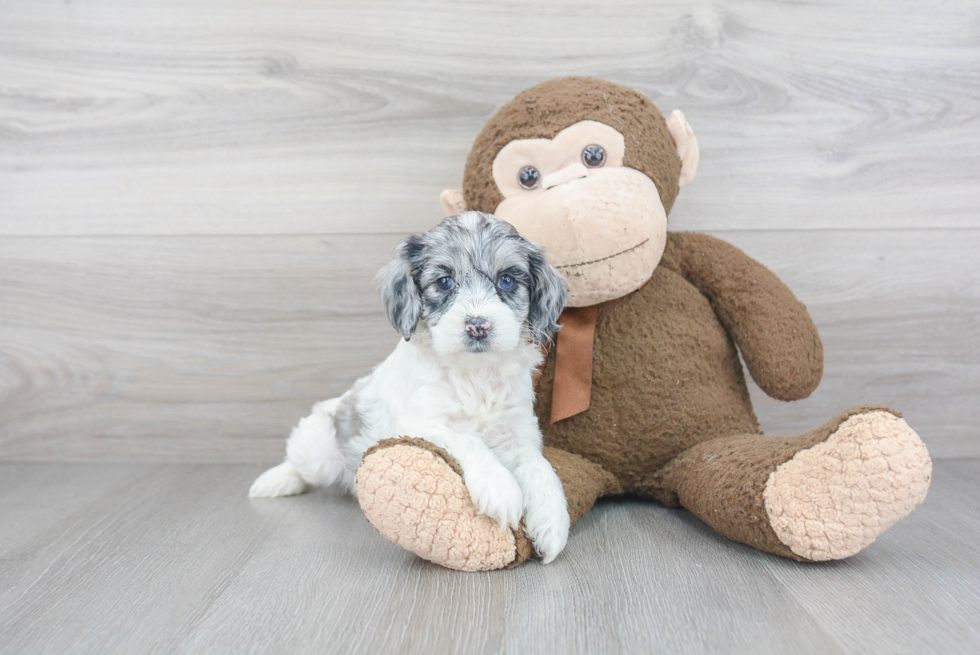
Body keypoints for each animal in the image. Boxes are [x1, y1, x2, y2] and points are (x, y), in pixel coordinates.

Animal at [251, 210, 576, 564]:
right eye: (444, 282)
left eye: (506, 280)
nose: (477, 325)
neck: (473, 375)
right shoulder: (419, 424)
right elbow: (468, 440)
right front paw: (498, 486)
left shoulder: (518, 432)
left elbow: (540, 467)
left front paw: (553, 521)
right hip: (318, 449)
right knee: (298, 461)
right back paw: (275, 481)